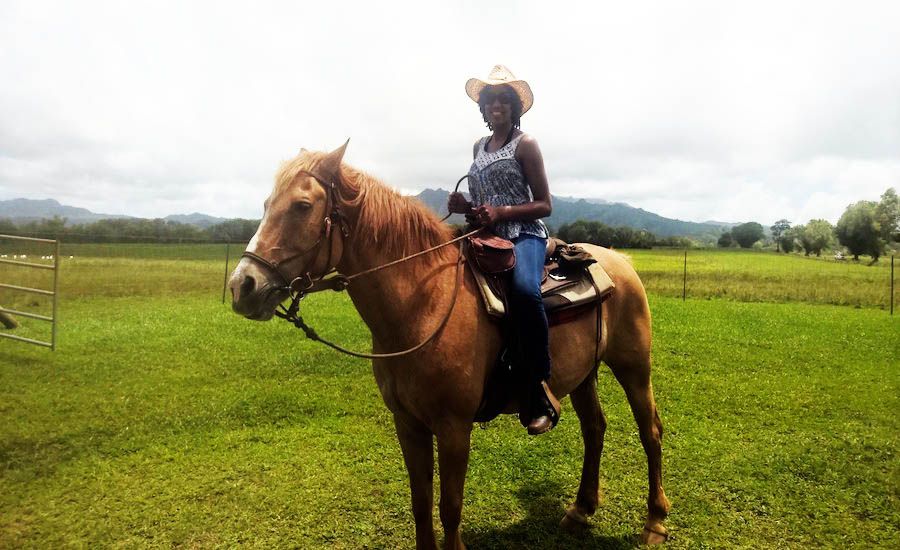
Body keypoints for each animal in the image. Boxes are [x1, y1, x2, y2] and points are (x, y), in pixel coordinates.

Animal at [229, 144, 672, 548]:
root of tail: (618, 259)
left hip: (634, 366)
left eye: (302, 205)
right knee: (594, 428)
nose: (242, 286)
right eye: (267, 204)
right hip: (584, 374)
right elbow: (421, 503)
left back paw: (655, 521)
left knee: (650, 431)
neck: (423, 304)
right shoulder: (408, 423)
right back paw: (581, 509)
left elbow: (450, 507)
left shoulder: (454, 426)